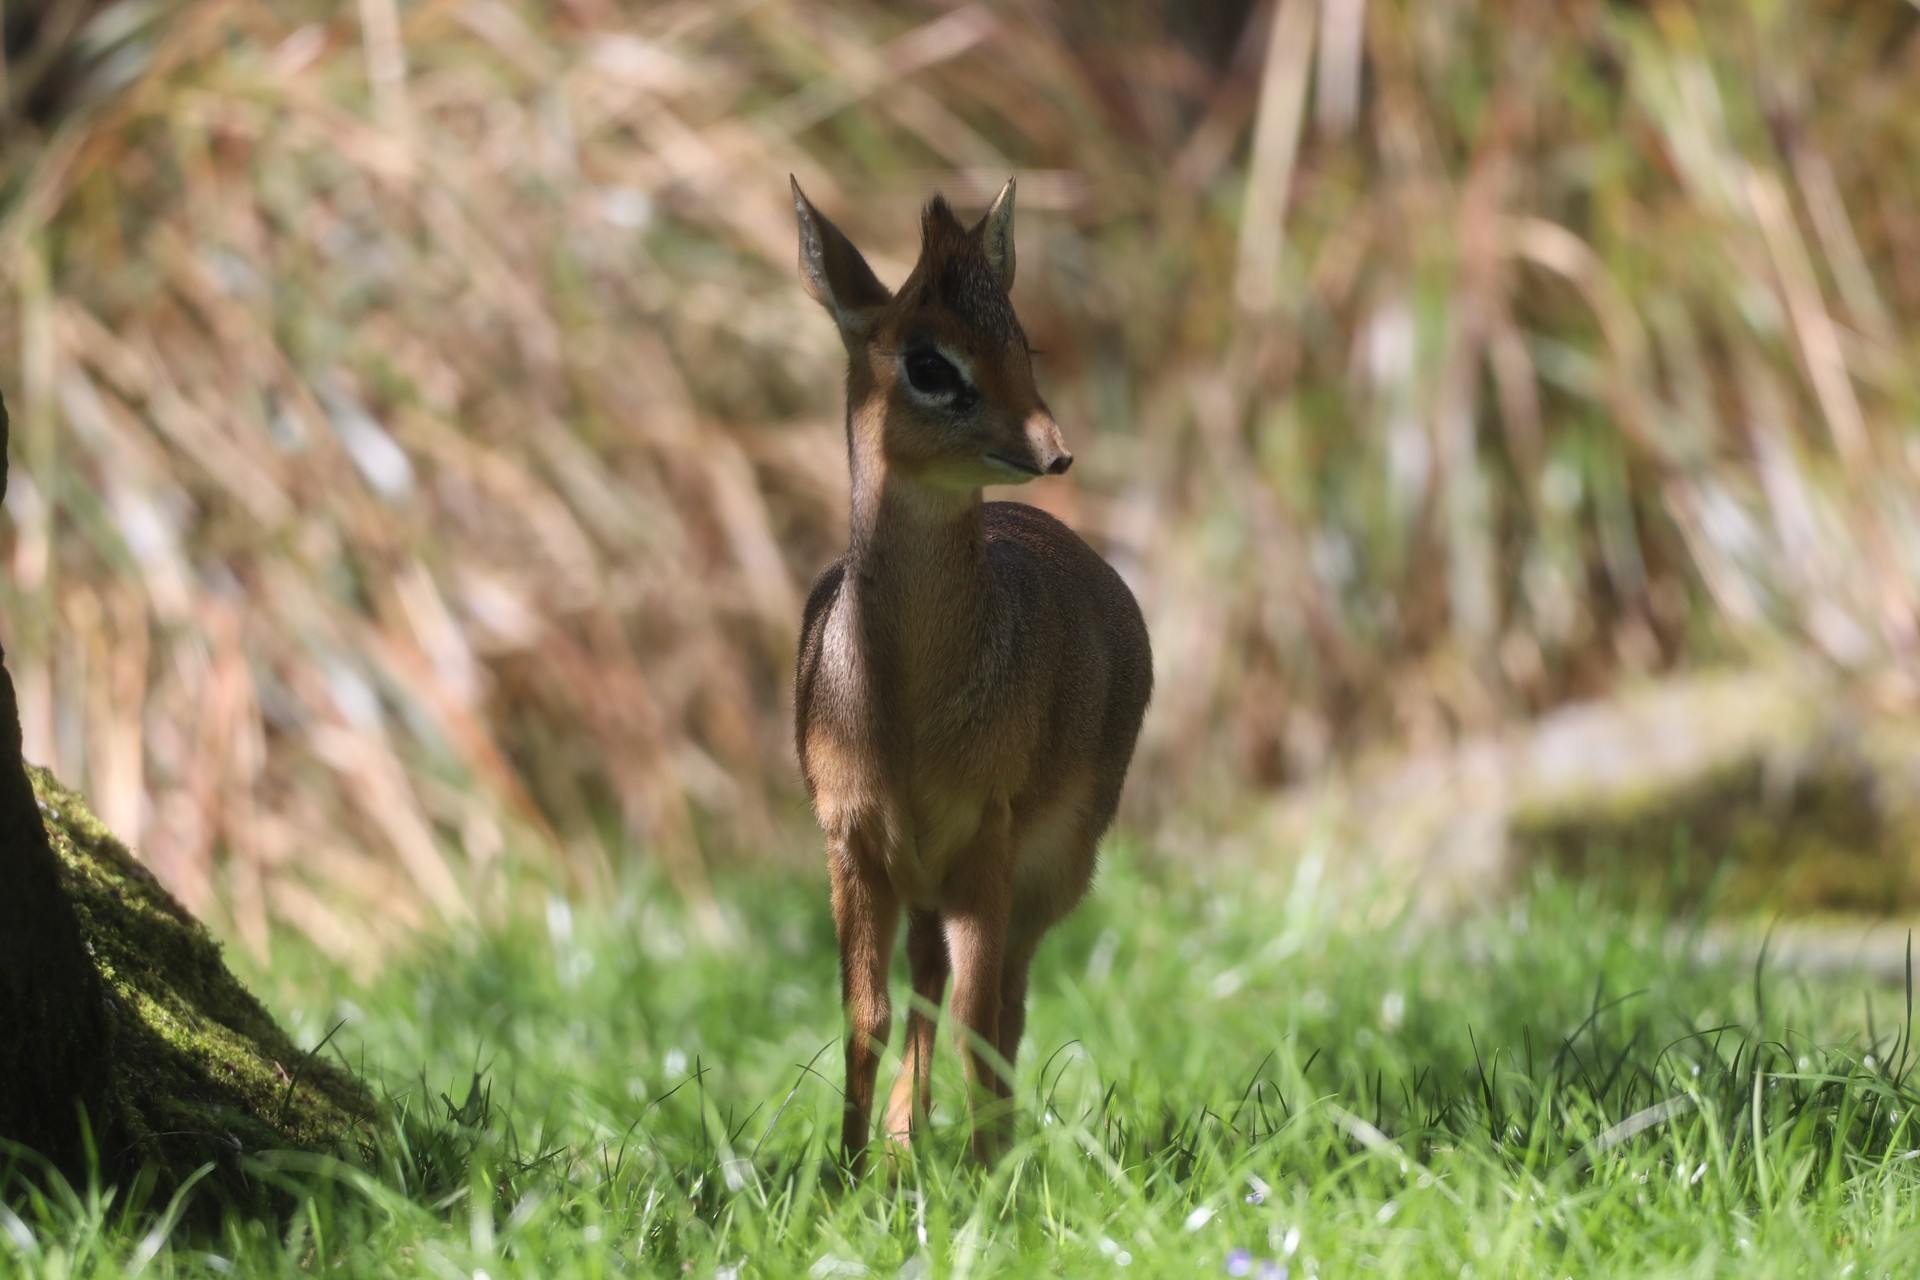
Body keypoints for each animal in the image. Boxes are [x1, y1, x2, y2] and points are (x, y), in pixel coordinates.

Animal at [794, 177, 1152, 1174]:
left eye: (1022, 341)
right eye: (928, 362)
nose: (1053, 448)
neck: (899, 712)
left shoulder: (986, 841)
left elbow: (977, 1018)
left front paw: (992, 1179)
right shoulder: (852, 843)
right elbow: (866, 1015)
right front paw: (844, 1172)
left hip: (1052, 868)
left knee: (1003, 1003)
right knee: (926, 980)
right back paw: (905, 1146)